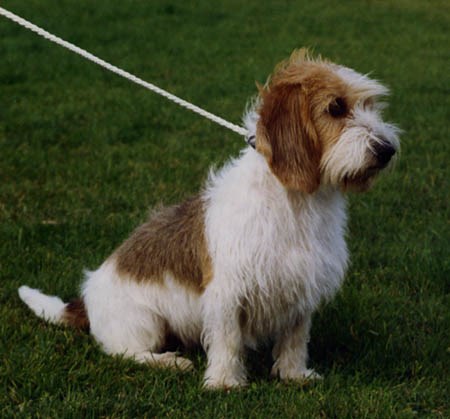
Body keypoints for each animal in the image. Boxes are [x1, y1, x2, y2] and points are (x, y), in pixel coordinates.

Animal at [18, 49, 400, 389]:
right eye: (335, 108)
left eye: (369, 106)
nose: (388, 150)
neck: (295, 202)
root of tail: (85, 300)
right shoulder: (228, 292)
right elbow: (228, 340)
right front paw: (224, 382)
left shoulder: (301, 287)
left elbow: (295, 339)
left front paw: (293, 375)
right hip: (146, 322)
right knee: (124, 353)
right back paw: (169, 362)